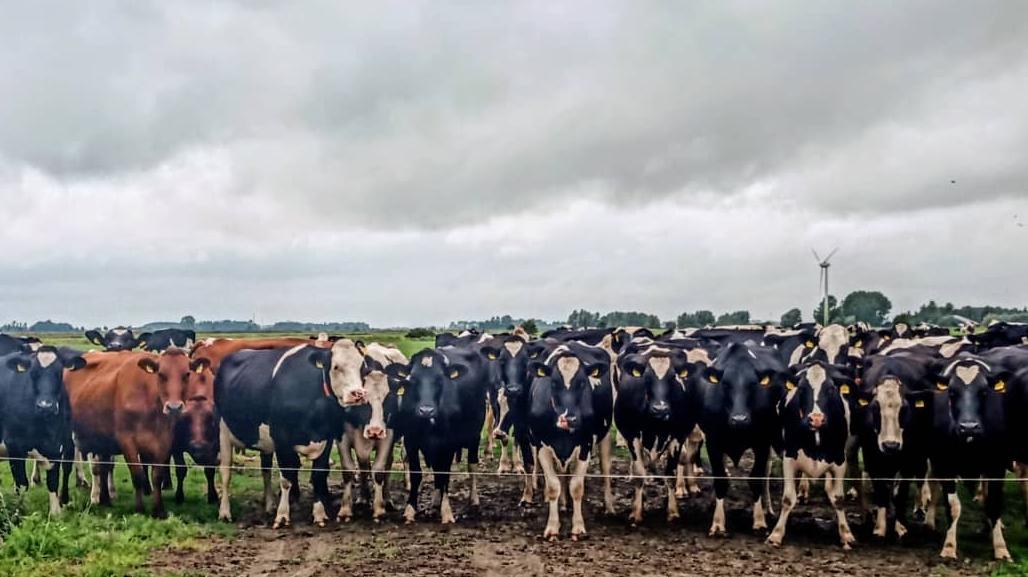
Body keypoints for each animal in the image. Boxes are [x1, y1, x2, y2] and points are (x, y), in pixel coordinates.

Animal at [0, 345, 84, 512]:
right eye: (32, 374)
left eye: (59, 373)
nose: (46, 406)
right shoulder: (14, 446)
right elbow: (21, 484)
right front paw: (18, 512)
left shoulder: (58, 445)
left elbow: (53, 481)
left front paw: (56, 512)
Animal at [66, 349, 208, 514]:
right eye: (161, 374)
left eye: (187, 374)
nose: (174, 407)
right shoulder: (127, 441)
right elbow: (138, 475)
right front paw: (139, 509)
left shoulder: (164, 440)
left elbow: (157, 476)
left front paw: (159, 510)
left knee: (103, 468)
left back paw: (105, 499)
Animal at [768, 362, 855, 547]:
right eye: (801, 389)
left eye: (831, 389)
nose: (816, 419)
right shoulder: (789, 458)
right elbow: (788, 499)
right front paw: (777, 534)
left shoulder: (840, 460)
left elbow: (839, 499)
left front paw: (845, 534)